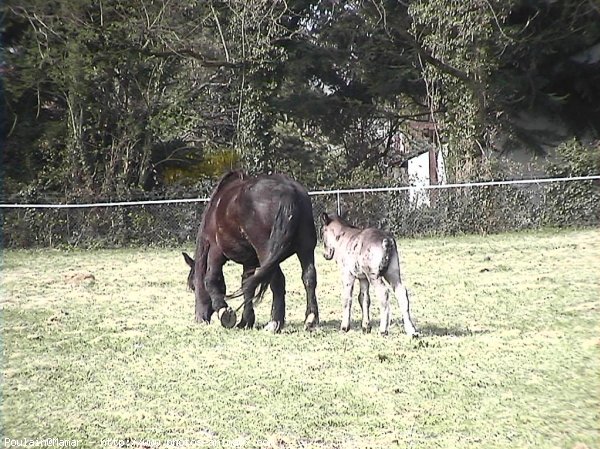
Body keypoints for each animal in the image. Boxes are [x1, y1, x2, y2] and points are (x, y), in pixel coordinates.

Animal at [184, 170, 318, 330]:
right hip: (305, 249)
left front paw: (224, 312)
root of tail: (289, 191)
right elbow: (247, 285)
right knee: (309, 277)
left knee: (278, 281)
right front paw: (246, 321)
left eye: (193, 286)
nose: (200, 318)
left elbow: (211, 279)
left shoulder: (216, 251)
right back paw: (310, 319)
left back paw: (274, 322)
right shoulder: (249, 261)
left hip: (266, 254)